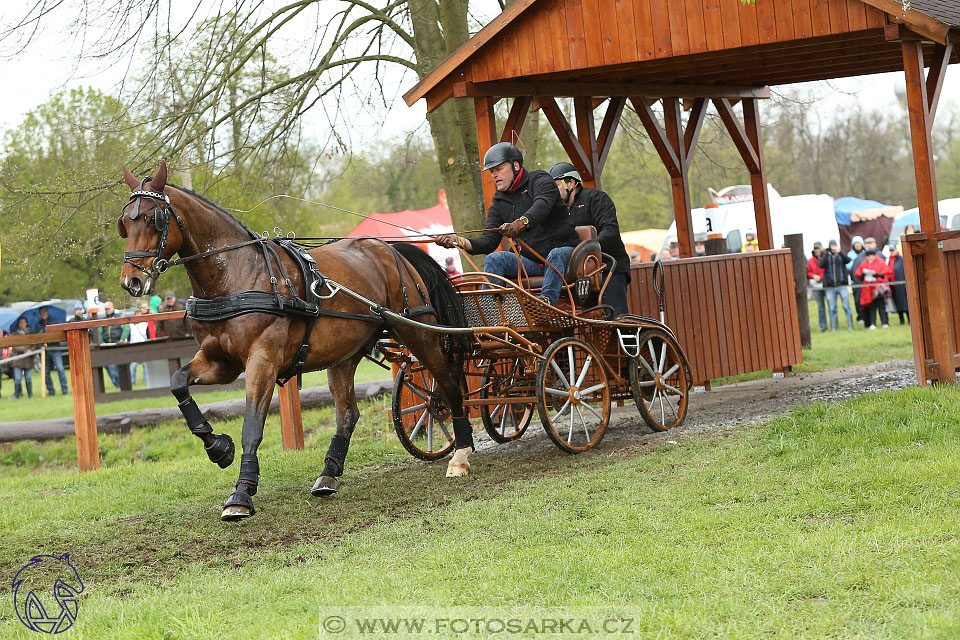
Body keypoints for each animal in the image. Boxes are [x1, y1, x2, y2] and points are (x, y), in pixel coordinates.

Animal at [117, 160, 476, 520]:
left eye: (153, 217)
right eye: (125, 222)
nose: (131, 281)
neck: (236, 275)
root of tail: (388, 248)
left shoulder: (262, 361)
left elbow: (252, 425)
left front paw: (242, 492)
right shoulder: (220, 361)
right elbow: (178, 383)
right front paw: (219, 448)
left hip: (419, 333)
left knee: (447, 384)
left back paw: (461, 453)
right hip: (344, 354)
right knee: (348, 414)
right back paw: (329, 474)